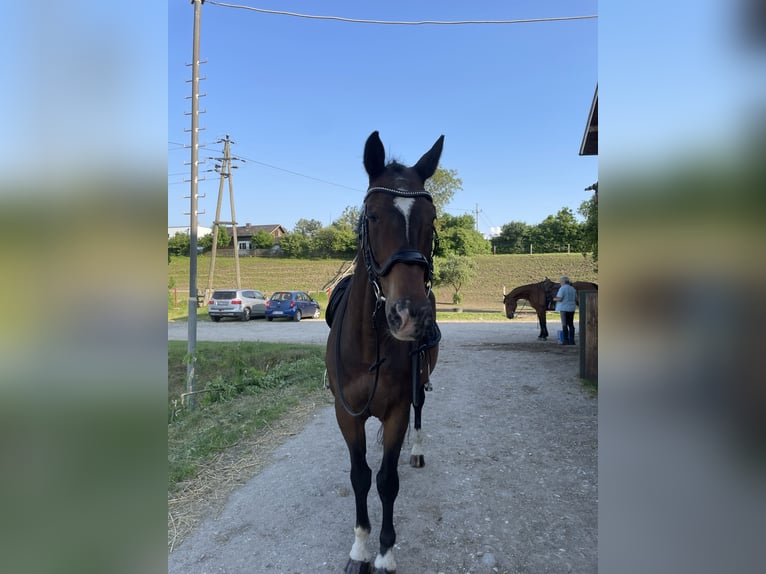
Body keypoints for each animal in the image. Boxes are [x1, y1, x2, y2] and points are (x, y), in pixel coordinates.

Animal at [328, 132, 448, 574]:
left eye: (431, 219)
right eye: (373, 216)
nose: (410, 315)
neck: (369, 345)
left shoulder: (396, 409)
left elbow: (387, 480)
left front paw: (384, 553)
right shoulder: (346, 413)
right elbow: (361, 475)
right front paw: (360, 548)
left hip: (418, 388)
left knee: (419, 414)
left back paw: (417, 451)